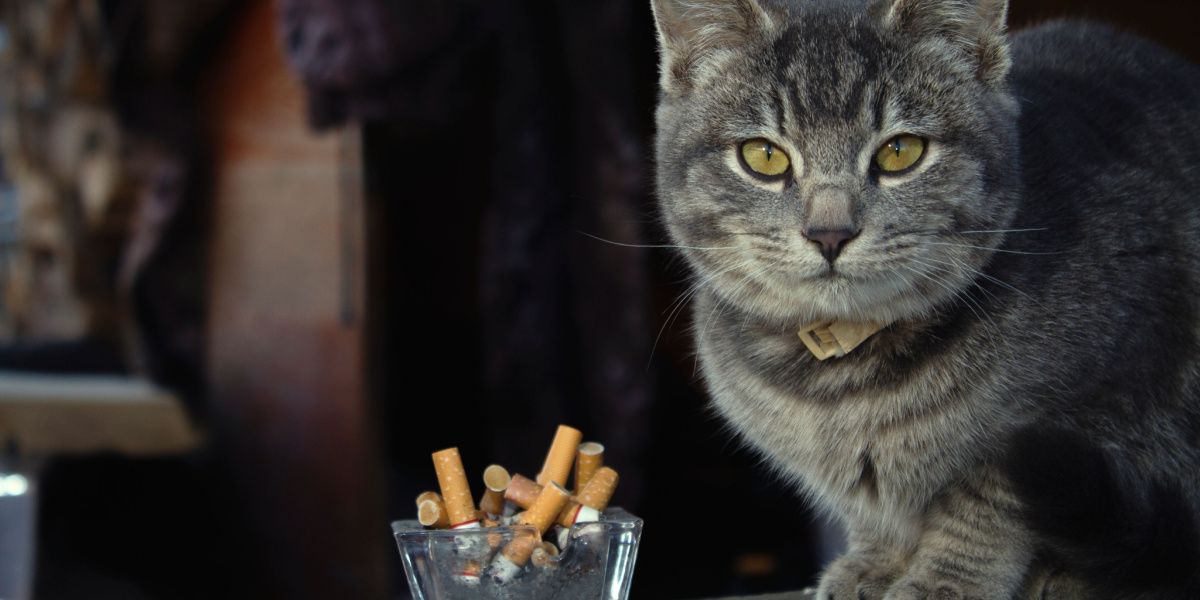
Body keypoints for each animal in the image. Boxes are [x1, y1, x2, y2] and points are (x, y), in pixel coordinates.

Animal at [652, 1, 1200, 600]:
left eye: (900, 152)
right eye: (764, 157)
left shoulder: (1090, 409)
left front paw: (945, 581)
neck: (844, 389)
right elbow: (870, 506)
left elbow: (985, 510)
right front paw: (874, 563)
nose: (829, 233)